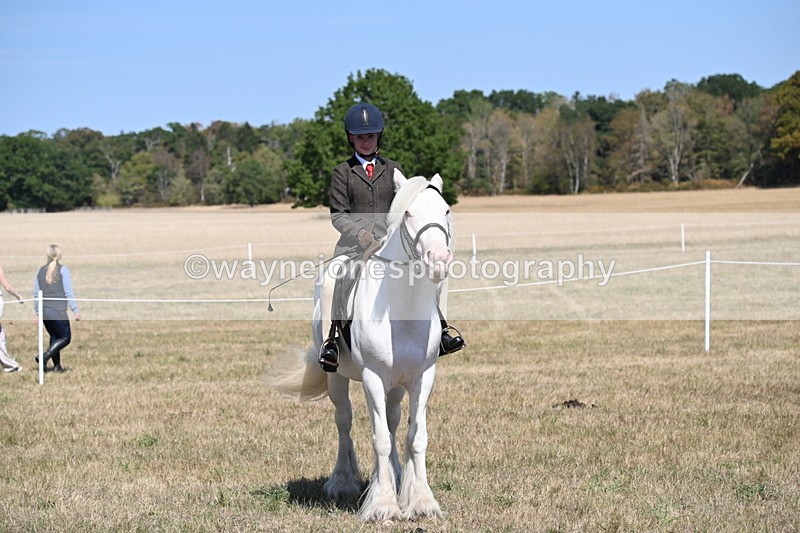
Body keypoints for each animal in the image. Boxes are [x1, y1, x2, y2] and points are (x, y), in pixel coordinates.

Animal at [270, 169, 454, 522]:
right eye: (408, 213)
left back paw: (395, 476)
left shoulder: (423, 377)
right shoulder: (373, 377)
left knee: (393, 422)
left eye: (446, 210)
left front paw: (420, 501)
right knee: (344, 421)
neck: (402, 309)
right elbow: (379, 439)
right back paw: (342, 482)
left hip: (396, 385)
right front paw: (382, 506)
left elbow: (415, 437)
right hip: (337, 378)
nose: (438, 261)